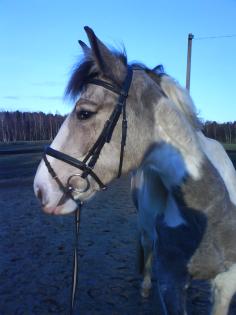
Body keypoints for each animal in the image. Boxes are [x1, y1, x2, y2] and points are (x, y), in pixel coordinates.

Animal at [34, 27, 236, 315]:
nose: (40, 188)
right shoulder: (172, 285)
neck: (208, 211)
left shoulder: (225, 284)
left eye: (84, 113)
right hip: (145, 228)